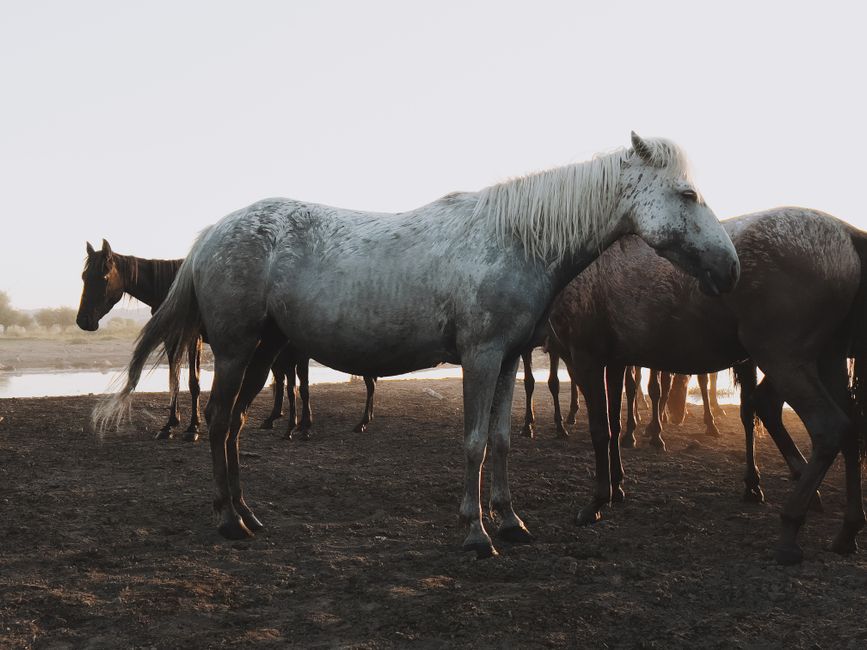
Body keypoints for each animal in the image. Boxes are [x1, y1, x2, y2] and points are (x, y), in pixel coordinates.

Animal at [77, 240, 375, 440]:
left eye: (103, 276)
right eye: (83, 276)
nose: (83, 321)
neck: (174, 286)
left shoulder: (193, 339)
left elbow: (194, 382)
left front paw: (192, 428)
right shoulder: (172, 339)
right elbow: (174, 380)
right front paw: (169, 424)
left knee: (304, 382)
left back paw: (315, 425)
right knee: (286, 380)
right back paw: (281, 420)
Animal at [541, 207, 867, 564]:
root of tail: (843, 232)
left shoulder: (584, 358)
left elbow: (600, 430)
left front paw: (596, 503)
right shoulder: (614, 362)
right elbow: (614, 424)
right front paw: (617, 487)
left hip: (786, 361)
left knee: (828, 427)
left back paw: (790, 529)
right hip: (828, 360)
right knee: (850, 428)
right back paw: (847, 531)